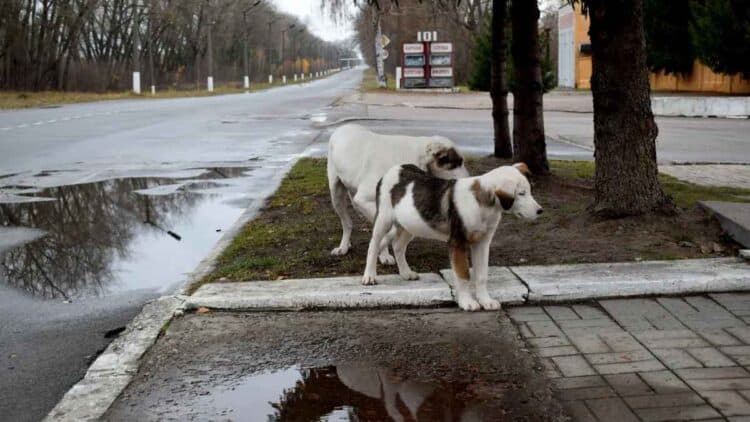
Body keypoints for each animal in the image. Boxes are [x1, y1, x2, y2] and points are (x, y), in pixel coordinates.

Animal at [328, 123, 470, 266]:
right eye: (458, 162)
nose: (470, 179)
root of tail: (345, 126)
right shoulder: (363, 200)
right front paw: (384, 254)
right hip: (336, 195)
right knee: (347, 223)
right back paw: (343, 247)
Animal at [362, 163, 544, 312]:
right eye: (521, 193)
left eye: (529, 191)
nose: (540, 211)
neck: (483, 204)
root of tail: (396, 168)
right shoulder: (457, 243)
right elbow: (463, 275)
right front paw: (467, 302)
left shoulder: (483, 243)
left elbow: (481, 275)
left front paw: (486, 301)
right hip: (384, 219)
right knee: (373, 245)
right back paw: (369, 276)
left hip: (410, 224)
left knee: (398, 246)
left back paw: (406, 273)